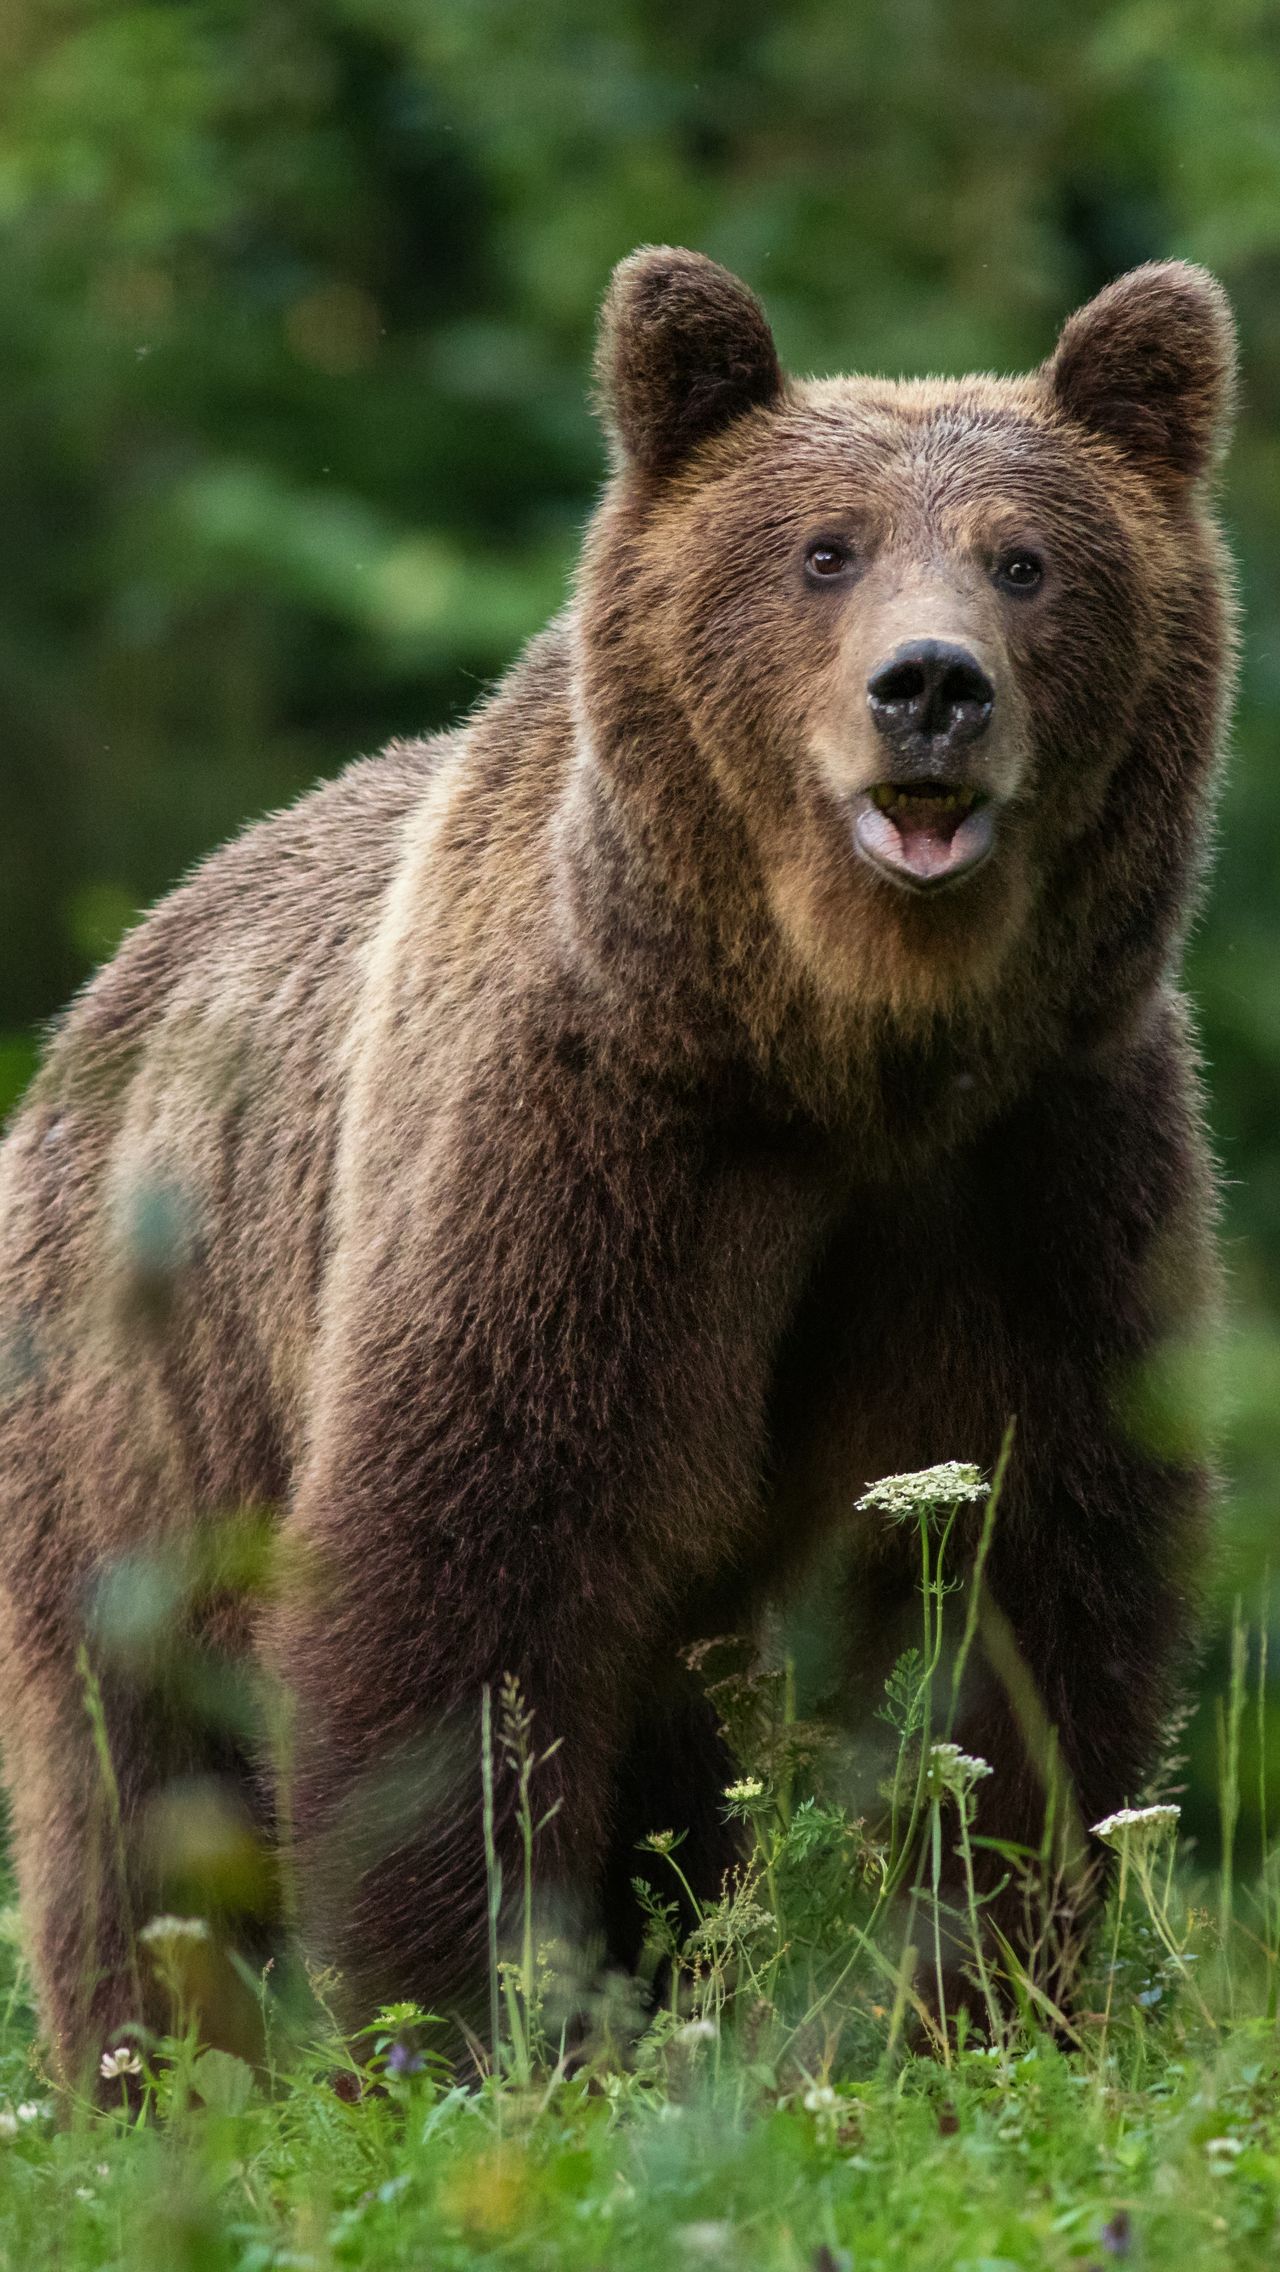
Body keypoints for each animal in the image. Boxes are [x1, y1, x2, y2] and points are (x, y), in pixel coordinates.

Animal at [0, 244, 1236, 2081]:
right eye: (823, 550)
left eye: (1027, 559)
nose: (931, 686)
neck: (842, 1050)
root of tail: (96, 1004)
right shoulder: (592, 1145)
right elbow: (472, 1565)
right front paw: (463, 2022)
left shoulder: (1034, 1167)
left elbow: (1024, 1581)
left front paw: (982, 1994)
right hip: (135, 1401)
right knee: (132, 1782)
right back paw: (152, 2072)